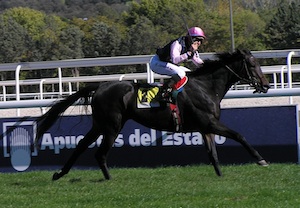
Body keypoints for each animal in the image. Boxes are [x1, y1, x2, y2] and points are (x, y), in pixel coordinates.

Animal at [34, 49, 270, 180]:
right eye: (252, 64)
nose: (266, 85)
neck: (206, 87)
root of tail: (100, 86)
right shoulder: (209, 123)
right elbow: (239, 135)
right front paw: (261, 160)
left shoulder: (206, 128)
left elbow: (213, 155)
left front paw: (220, 177)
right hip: (112, 126)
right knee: (100, 153)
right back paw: (109, 179)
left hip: (100, 124)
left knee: (82, 145)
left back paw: (59, 173)